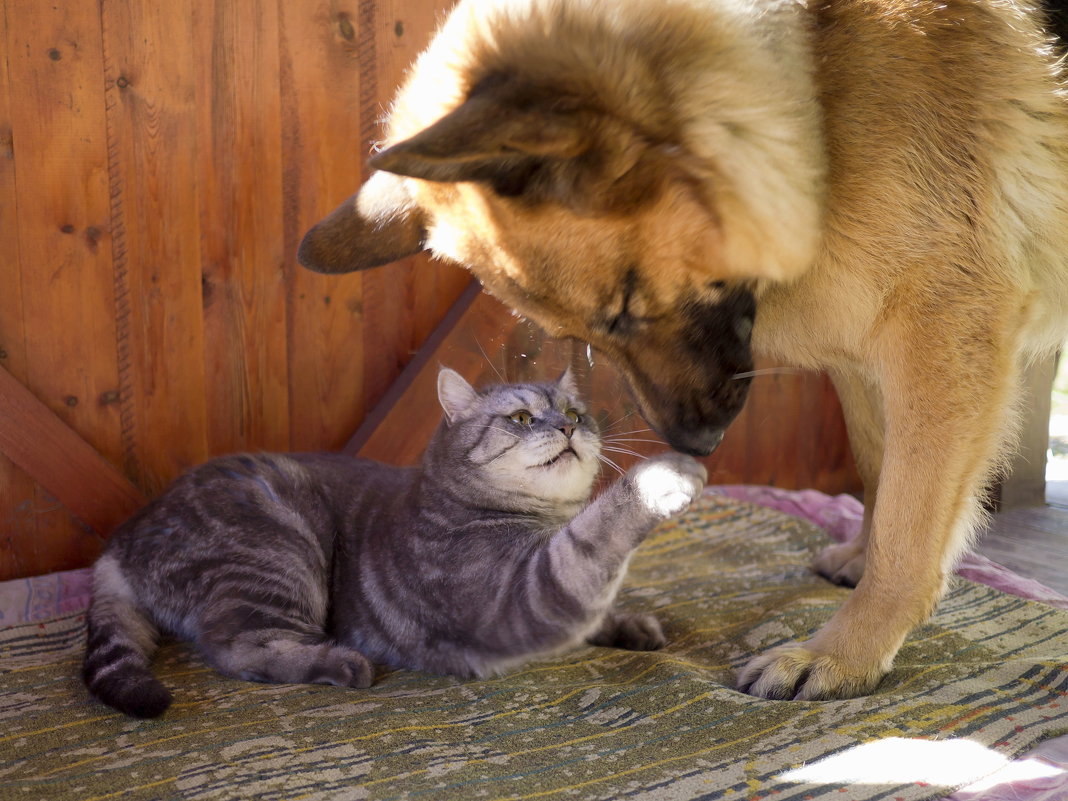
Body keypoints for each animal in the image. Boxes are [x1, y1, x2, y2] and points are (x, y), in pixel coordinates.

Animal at [79, 369, 704, 721]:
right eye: (523, 417)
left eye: (576, 412)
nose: (569, 426)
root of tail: (120, 541)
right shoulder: (525, 596)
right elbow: (592, 541)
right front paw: (662, 478)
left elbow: (597, 590)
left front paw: (629, 624)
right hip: (279, 550)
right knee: (235, 648)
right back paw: (338, 663)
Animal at [296, 0, 1068, 700]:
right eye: (583, 336)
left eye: (628, 304)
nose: (697, 446)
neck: (815, 92)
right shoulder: (867, 349)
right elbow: (883, 476)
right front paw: (860, 562)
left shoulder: (939, 332)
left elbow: (908, 529)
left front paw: (843, 652)